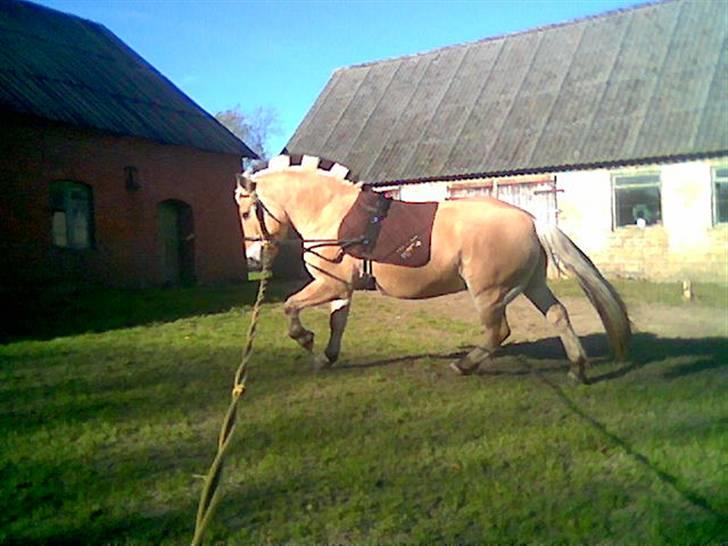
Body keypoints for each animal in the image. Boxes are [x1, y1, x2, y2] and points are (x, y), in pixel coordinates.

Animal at [236, 153, 628, 382]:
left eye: (245, 212)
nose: (253, 257)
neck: (333, 213)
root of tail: (531, 220)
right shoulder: (340, 288)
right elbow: (337, 323)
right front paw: (327, 357)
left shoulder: (331, 285)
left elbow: (291, 307)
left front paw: (306, 340)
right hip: (531, 285)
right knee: (558, 316)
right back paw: (577, 369)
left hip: (490, 293)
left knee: (498, 332)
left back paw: (464, 365)